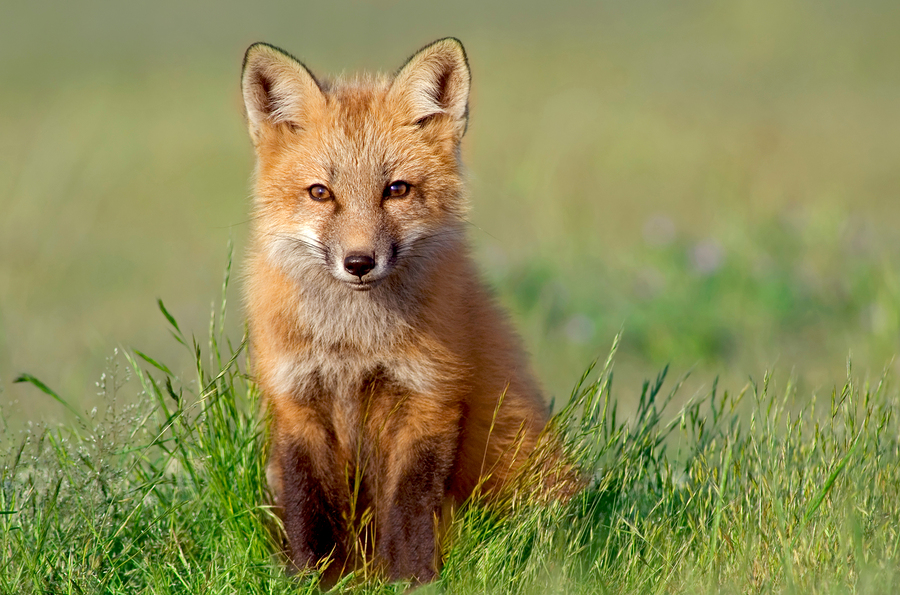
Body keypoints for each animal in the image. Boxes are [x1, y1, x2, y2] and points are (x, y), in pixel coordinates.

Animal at [240, 38, 557, 584]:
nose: (359, 262)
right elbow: (308, 506)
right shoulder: (295, 400)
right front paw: (312, 578)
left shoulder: (429, 396)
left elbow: (409, 506)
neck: (353, 344)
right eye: (320, 193)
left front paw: (411, 580)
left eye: (396, 190)